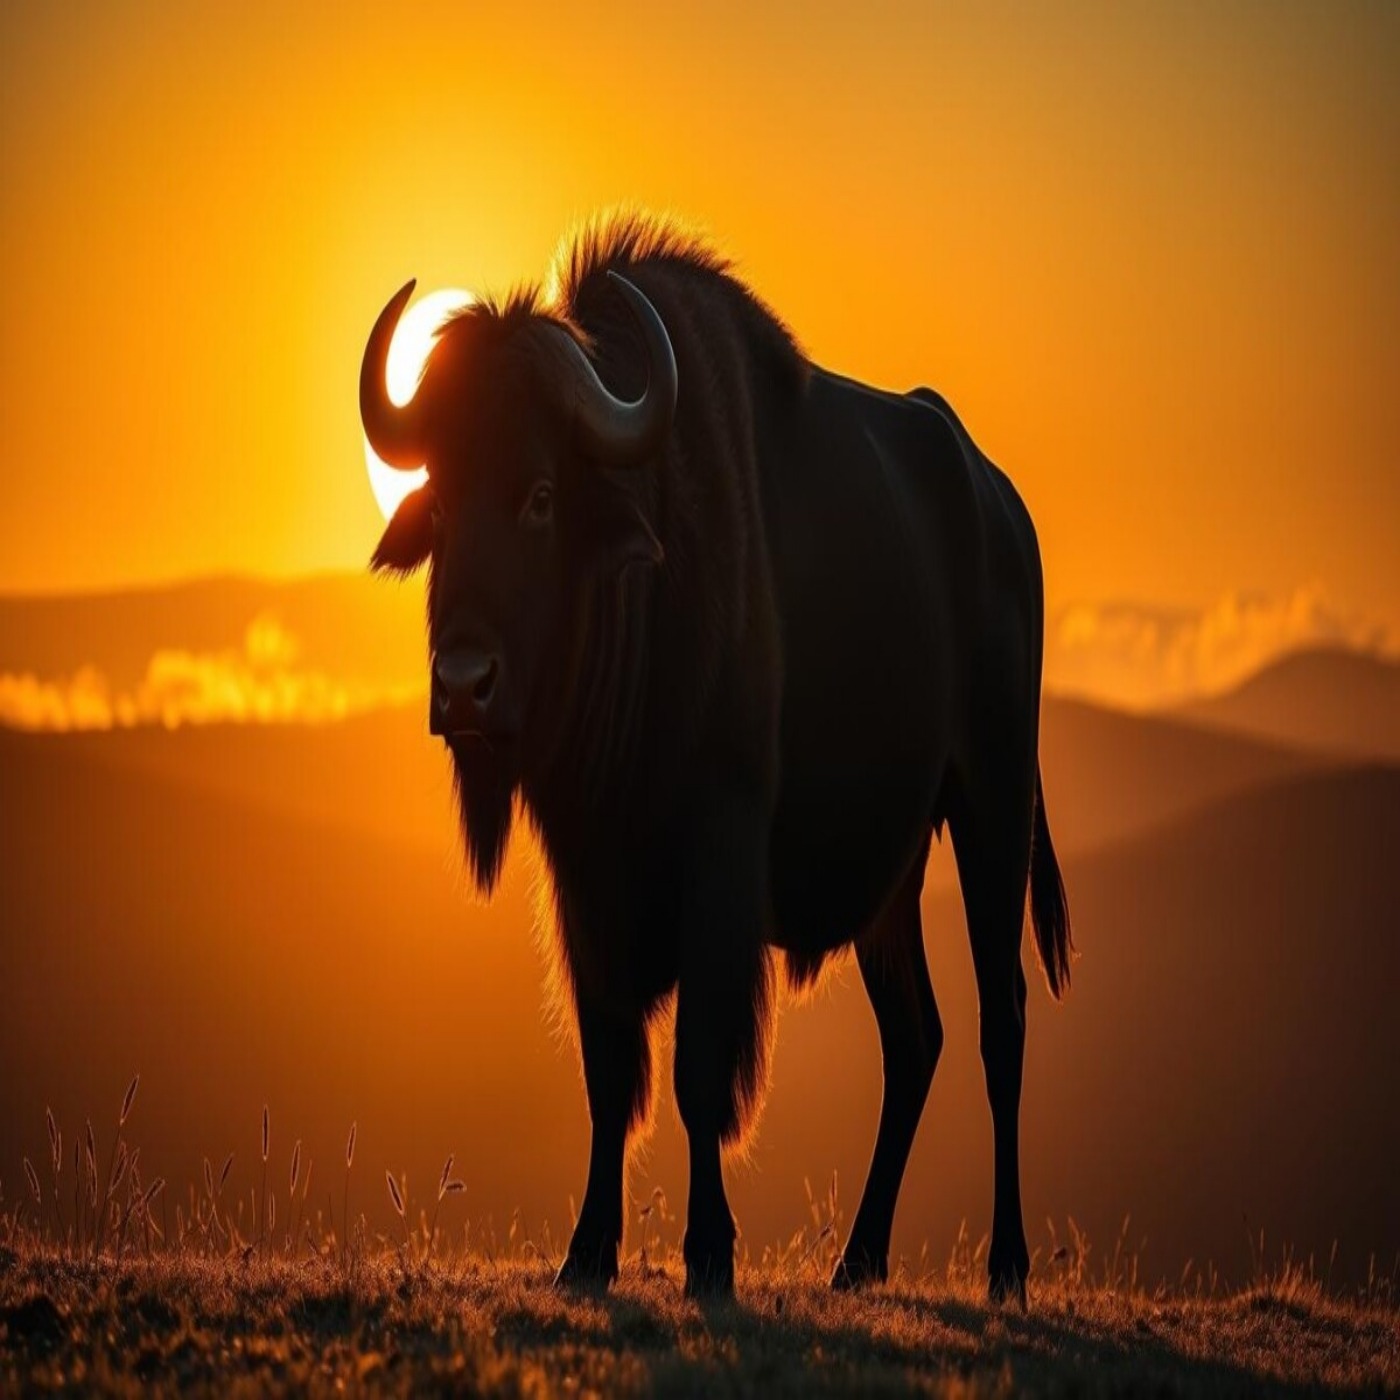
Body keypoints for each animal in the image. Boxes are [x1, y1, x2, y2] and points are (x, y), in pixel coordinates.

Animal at [360, 213, 1072, 1302]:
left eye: (538, 493)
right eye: (436, 496)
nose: (463, 684)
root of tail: (1000, 512)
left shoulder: (719, 863)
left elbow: (699, 1073)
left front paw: (708, 1253)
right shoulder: (585, 882)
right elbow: (611, 1073)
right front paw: (585, 1253)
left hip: (990, 808)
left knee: (1003, 1024)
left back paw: (1004, 1267)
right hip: (894, 883)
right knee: (916, 1039)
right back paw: (856, 1260)